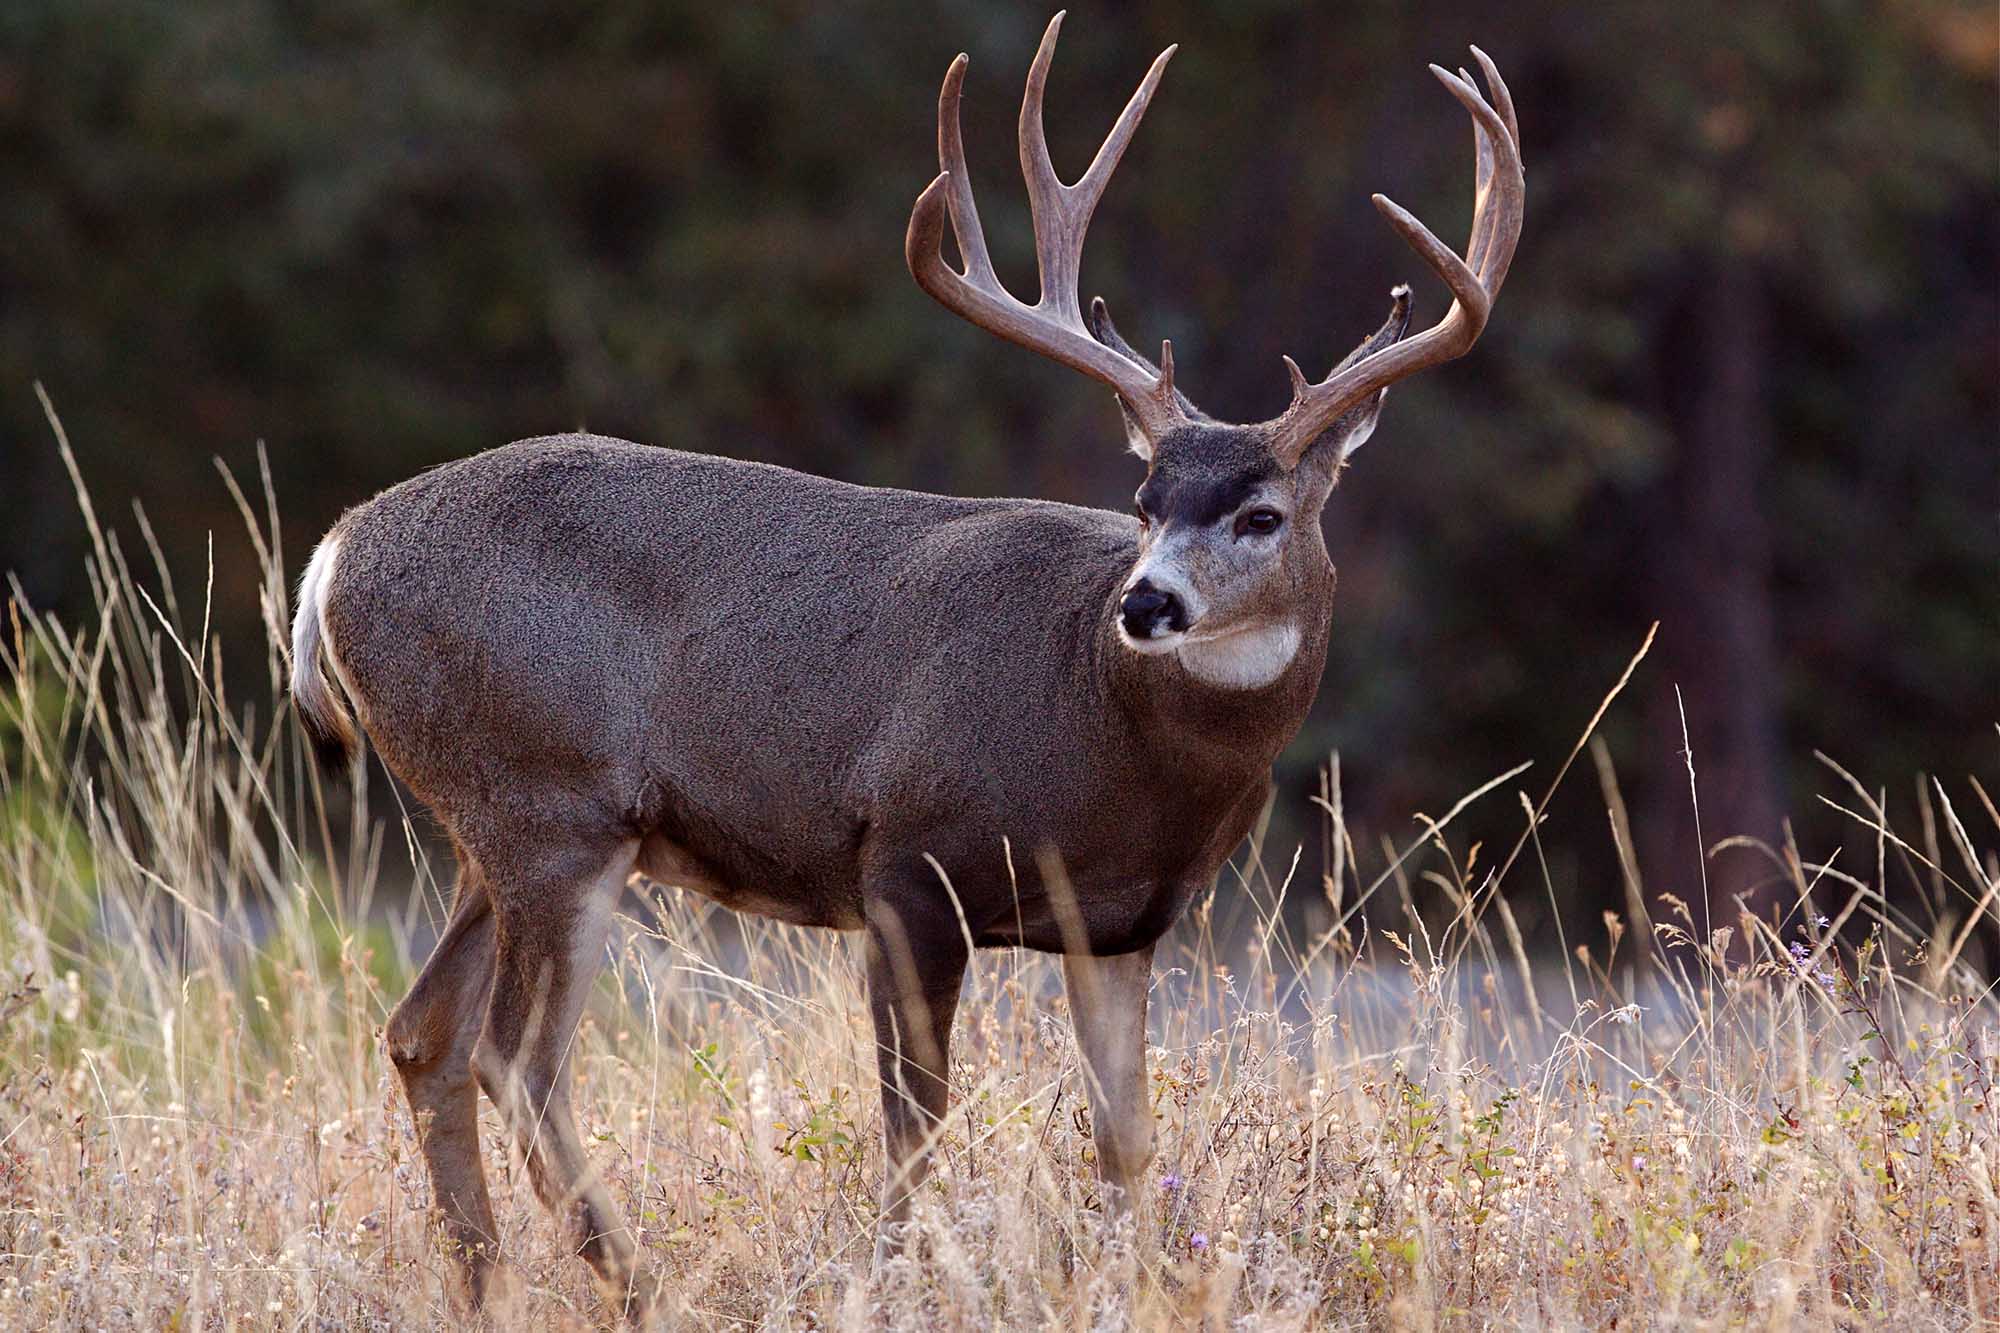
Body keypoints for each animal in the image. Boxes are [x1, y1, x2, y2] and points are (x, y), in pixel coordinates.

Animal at [288, 12, 1522, 1321]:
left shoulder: (1122, 923)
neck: (1102, 723)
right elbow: (912, 1124)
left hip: (495, 824)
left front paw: (1136, 1280)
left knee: (422, 1034)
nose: (1143, 602)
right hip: (548, 804)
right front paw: (887, 1282)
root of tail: (332, 554)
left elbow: (1123, 1139)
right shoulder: (909, 861)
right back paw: (639, 1284)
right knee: (515, 1055)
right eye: (1143, 500)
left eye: (1259, 514)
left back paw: (488, 1287)